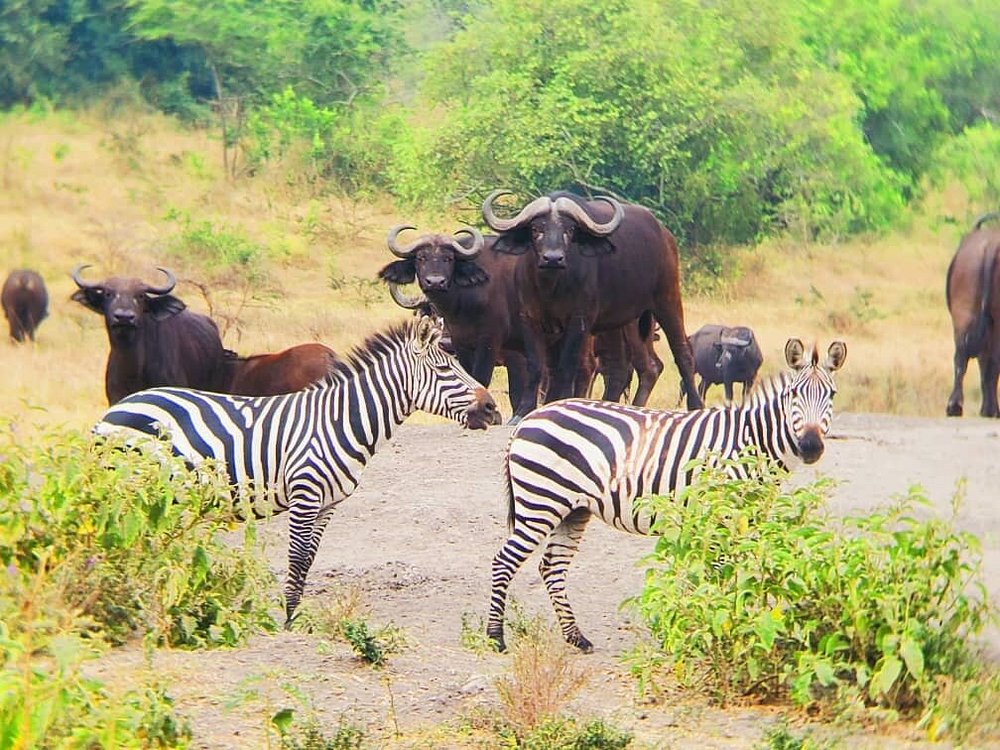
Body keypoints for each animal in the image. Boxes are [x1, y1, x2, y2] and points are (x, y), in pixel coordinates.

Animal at [96, 316, 496, 624]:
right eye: (444, 369)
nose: (492, 408)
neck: (340, 421)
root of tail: (115, 409)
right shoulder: (305, 495)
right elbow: (297, 557)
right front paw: (286, 621)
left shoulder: (328, 505)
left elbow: (308, 562)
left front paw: (296, 618)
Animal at [480, 191, 700, 420]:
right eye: (535, 229)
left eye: (569, 230)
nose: (553, 258)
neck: (551, 285)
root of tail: (665, 235)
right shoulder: (530, 318)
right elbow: (538, 366)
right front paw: (524, 410)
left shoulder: (579, 319)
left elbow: (567, 365)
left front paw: (559, 401)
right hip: (620, 323)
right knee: (624, 367)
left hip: (667, 299)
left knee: (682, 353)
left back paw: (695, 405)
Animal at [488, 338, 848, 656]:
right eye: (794, 394)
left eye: (831, 394)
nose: (811, 447)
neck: (751, 439)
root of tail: (528, 420)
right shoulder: (721, 511)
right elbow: (721, 573)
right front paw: (721, 630)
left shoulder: (750, 515)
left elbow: (744, 571)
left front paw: (744, 625)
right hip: (541, 502)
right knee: (504, 560)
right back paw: (496, 638)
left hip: (573, 509)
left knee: (552, 567)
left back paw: (577, 638)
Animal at [944, 214, 1000, 420]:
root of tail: (990, 245)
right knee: (990, 362)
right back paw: (990, 410)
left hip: (964, 314)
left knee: (961, 356)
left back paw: (955, 406)